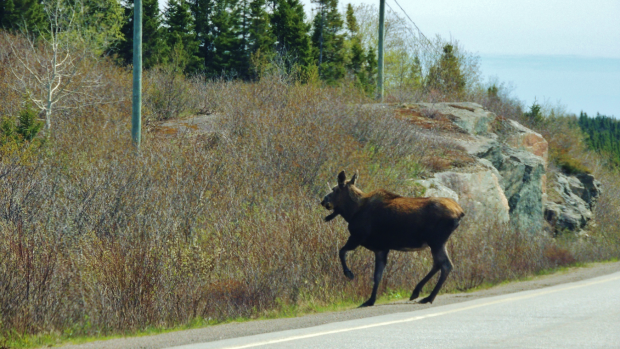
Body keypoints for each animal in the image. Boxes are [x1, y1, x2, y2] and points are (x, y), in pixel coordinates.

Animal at [322, 170, 462, 306]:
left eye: (334, 189)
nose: (323, 201)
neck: (352, 212)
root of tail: (460, 212)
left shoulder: (357, 237)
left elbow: (341, 252)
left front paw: (349, 273)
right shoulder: (381, 248)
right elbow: (377, 276)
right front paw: (371, 300)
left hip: (436, 241)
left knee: (445, 265)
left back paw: (428, 297)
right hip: (438, 242)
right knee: (439, 264)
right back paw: (417, 292)